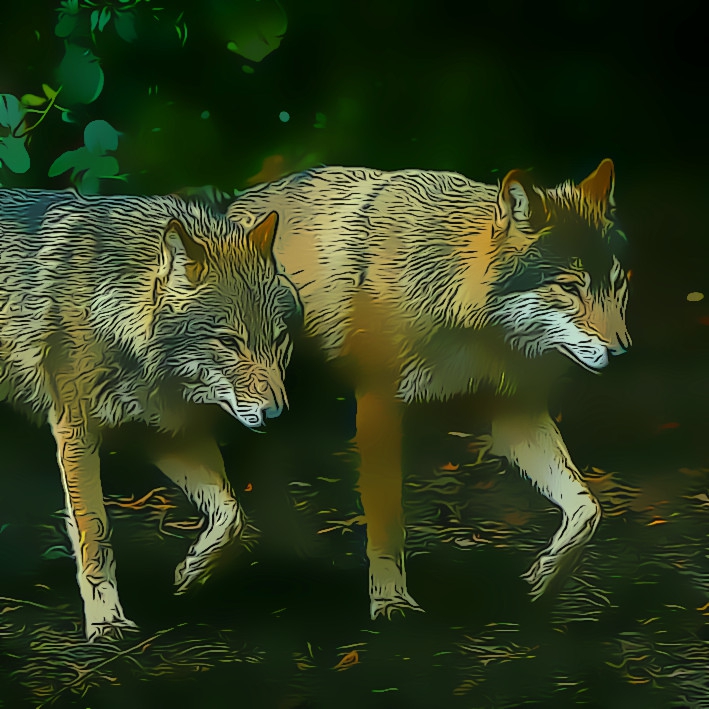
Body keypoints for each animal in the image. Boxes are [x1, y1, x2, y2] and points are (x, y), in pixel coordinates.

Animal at [0, 189, 301, 639]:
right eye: (229, 342)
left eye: (279, 340)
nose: (277, 414)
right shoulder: (76, 432)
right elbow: (94, 532)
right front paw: (105, 618)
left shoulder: (165, 434)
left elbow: (232, 514)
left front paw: (194, 570)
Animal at [225, 159, 630, 618]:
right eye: (569, 287)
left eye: (617, 284)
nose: (621, 352)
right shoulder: (379, 410)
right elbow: (388, 522)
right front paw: (389, 599)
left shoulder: (516, 417)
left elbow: (587, 508)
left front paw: (548, 577)